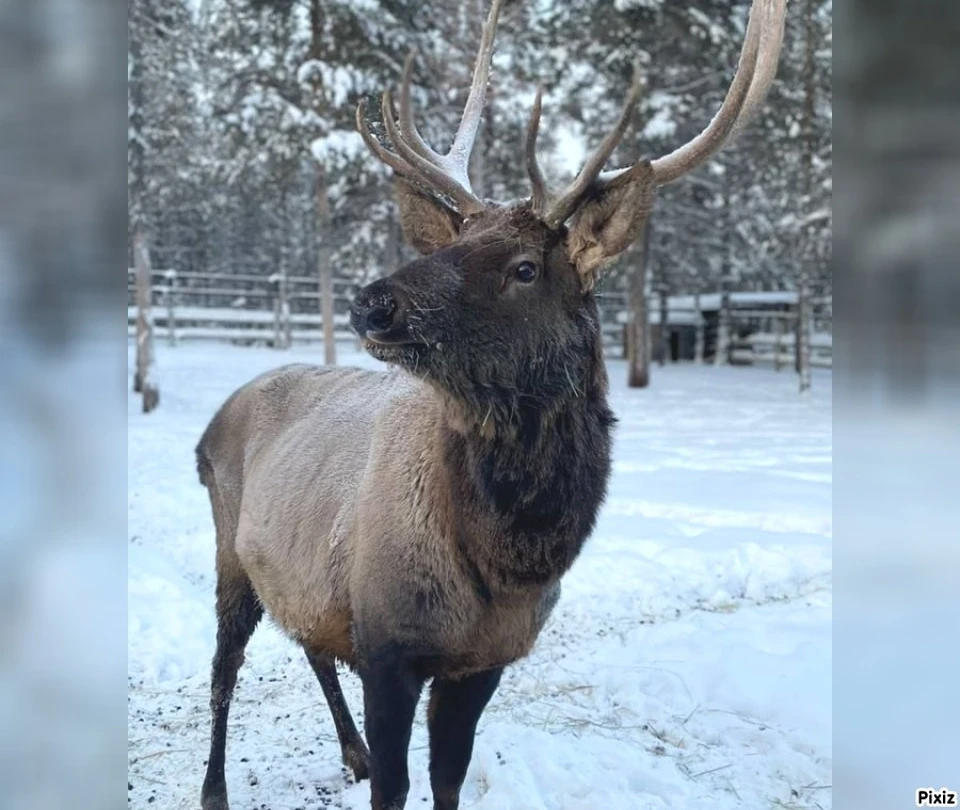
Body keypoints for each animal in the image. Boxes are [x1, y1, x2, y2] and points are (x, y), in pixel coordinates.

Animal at [197, 0, 788, 804]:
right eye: (453, 241)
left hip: (292, 570)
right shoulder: (387, 645)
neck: (510, 562)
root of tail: (214, 419)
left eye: (525, 267)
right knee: (225, 667)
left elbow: (448, 777)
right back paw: (215, 787)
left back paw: (348, 752)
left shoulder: (487, 660)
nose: (371, 303)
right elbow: (397, 786)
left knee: (308, 643)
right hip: (228, 548)